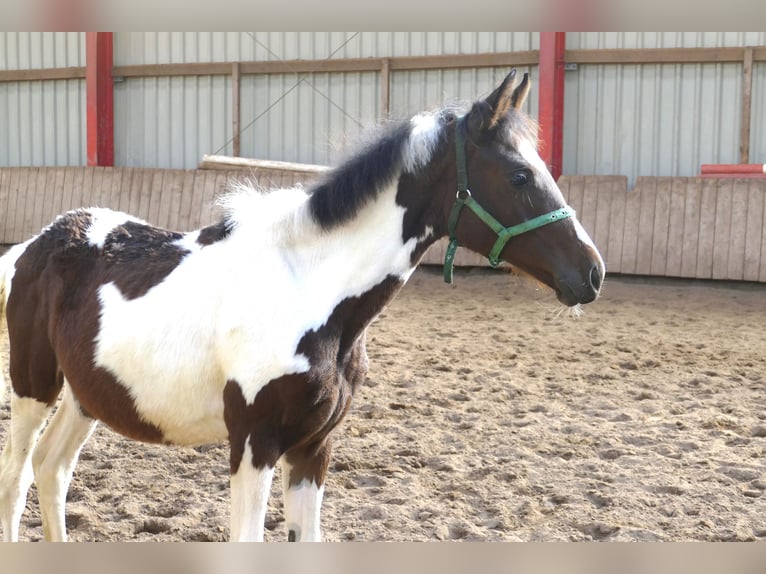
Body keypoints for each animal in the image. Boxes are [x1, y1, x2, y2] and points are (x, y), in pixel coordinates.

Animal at [0, 72, 608, 544]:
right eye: (520, 175)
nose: (592, 273)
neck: (309, 288)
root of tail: (36, 243)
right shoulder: (254, 445)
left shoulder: (313, 449)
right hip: (34, 387)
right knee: (17, 478)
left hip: (87, 396)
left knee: (52, 470)